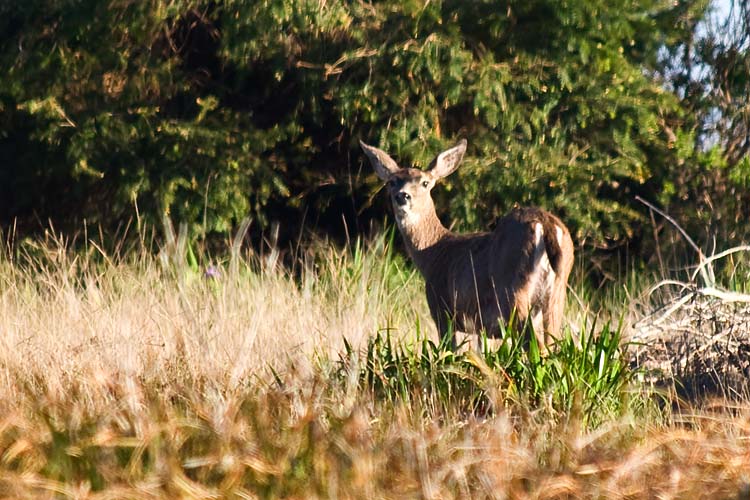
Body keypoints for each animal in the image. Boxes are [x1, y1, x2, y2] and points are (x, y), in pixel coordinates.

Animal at [360, 138, 574, 352]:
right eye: (392, 182)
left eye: (425, 182)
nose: (402, 196)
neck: (434, 253)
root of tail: (545, 223)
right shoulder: (481, 328)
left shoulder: (442, 309)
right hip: (557, 293)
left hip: (513, 292)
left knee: (536, 345)